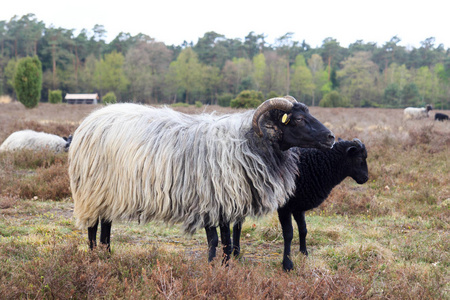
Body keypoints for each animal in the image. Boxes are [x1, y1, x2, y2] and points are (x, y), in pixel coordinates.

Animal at [230, 138, 368, 272]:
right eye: (359, 159)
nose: (365, 178)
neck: (314, 164)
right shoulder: (285, 207)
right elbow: (288, 234)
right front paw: (287, 264)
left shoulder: (298, 206)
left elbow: (303, 229)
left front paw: (304, 254)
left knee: (237, 225)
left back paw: (236, 253)